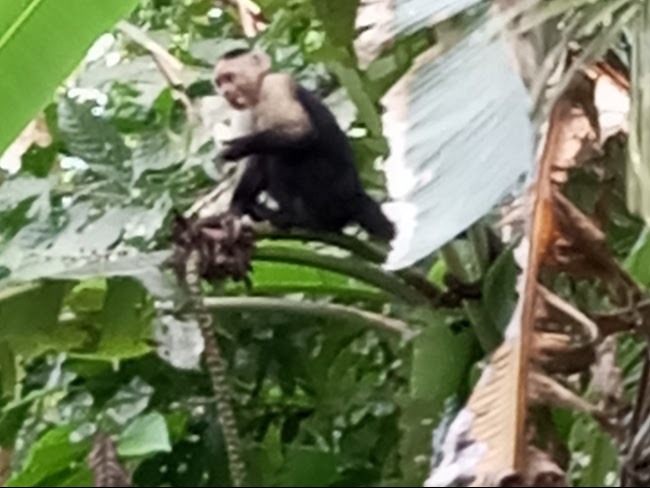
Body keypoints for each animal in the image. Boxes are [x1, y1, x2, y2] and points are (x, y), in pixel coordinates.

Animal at [213, 48, 396, 241]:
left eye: (229, 77)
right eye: (219, 82)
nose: (225, 92)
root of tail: (355, 195)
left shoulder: (275, 85)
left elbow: (301, 132)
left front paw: (237, 147)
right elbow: (254, 163)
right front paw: (234, 211)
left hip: (327, 192)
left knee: (280, 156)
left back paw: (298, 219)